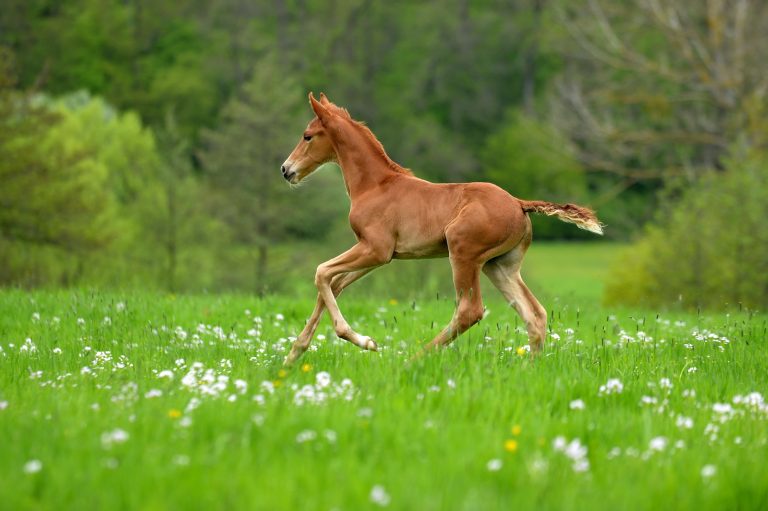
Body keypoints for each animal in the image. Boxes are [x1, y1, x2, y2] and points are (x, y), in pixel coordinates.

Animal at [280, 92, 604, 364]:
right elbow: (334, 284)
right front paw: (294, 354)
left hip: (462, 253)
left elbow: (322, 273)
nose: (286, 169)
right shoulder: (379, 254)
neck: (375, 185)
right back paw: (528, 368)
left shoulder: (376, 249)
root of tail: (518, 203)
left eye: (307, 136)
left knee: (470, 311)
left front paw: (364, 341)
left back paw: (412, 360)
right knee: (534, 314)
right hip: (500, 265)